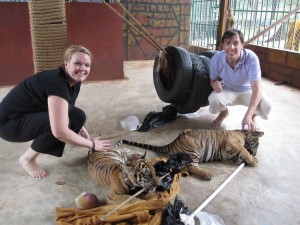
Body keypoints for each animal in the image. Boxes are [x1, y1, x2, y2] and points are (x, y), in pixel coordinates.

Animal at [113, 129, 264, 180]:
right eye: (255, 144)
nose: (255, 152)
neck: (243, 133)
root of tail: (174, 141)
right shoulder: (233, 144)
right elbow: (244, 151)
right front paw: (253, 160)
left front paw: (251, 158)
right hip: (194, 151)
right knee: (191, 168)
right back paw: (208, 174)